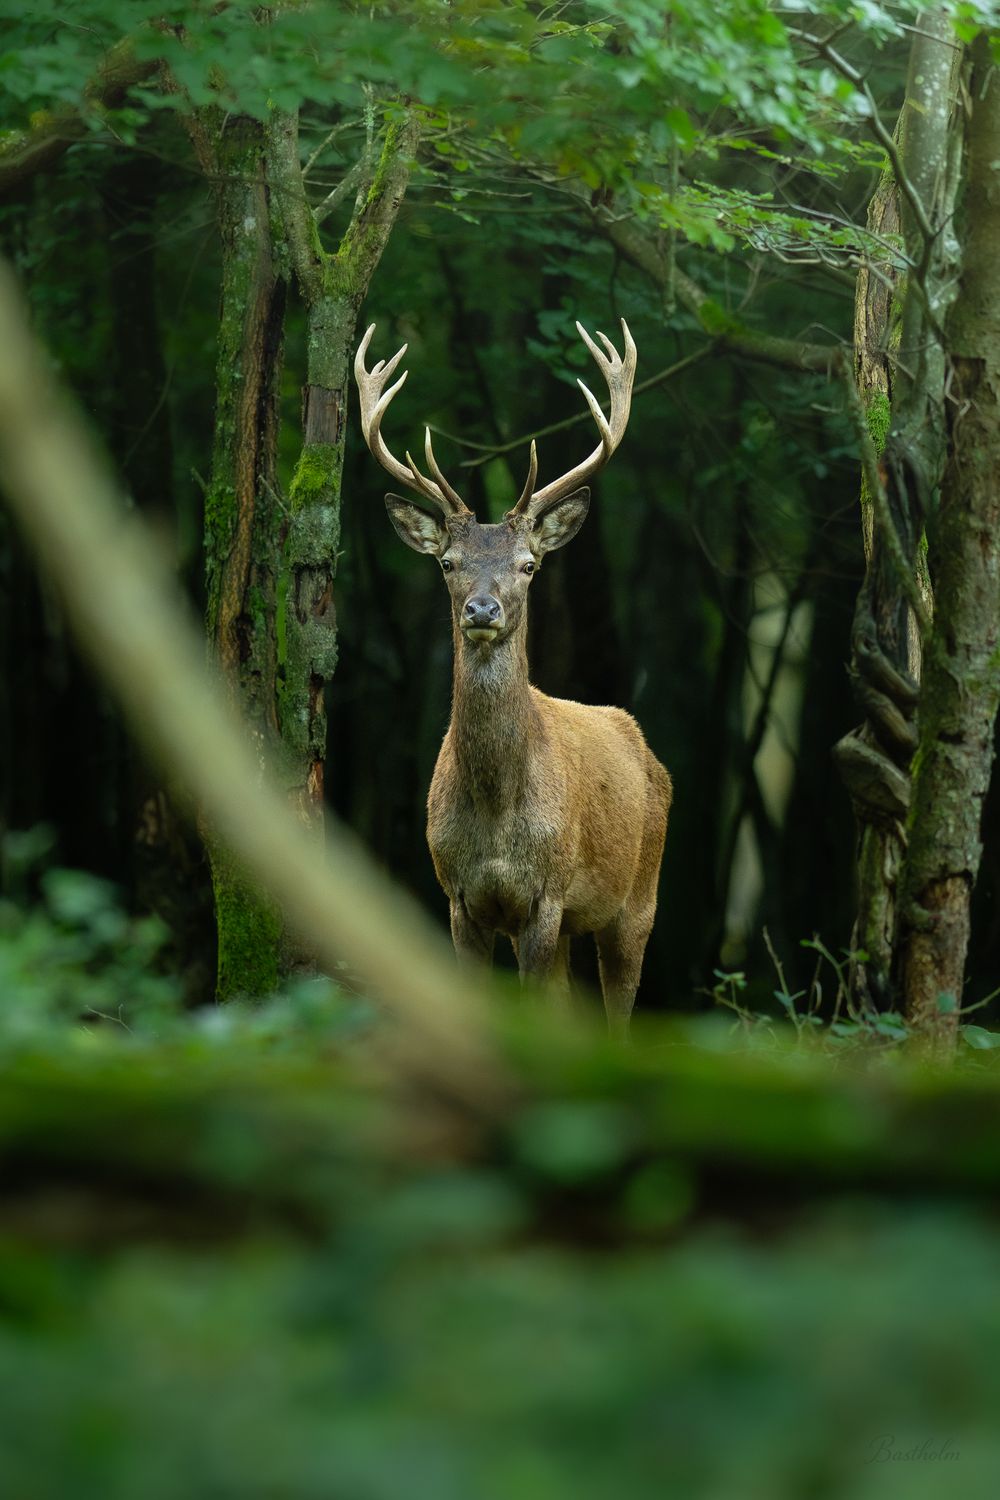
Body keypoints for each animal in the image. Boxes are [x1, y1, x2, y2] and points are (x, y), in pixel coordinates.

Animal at [354, 318, 671, 1035]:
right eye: (448, 562)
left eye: (528, 564)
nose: (481, 610)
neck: (500, 816)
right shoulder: (457, 894)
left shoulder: (545, 896)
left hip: (638, 898)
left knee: (619, 1006)